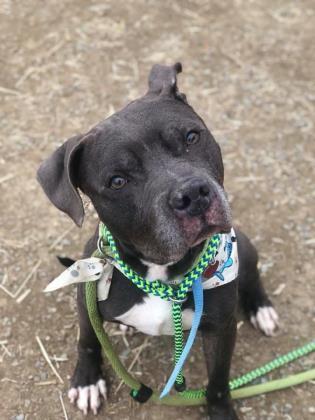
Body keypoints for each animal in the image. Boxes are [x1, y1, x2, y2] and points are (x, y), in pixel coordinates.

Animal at [37, 63, 278, 420]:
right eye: (117, 181)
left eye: (192, 137)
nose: (192, 195)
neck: (162, 272)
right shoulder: (86, 296)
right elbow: (88, 340)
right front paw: (87, 380)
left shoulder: (221, 329)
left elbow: (218, 381)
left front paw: (220, 410)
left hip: (244, 248)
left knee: (253, 274)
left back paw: (262, 308)